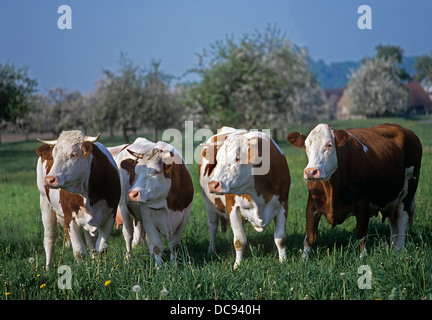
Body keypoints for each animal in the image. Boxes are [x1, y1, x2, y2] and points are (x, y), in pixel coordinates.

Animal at [36, 130, 120, 268]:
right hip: (45, 204)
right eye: (53, 155)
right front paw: (81, 269)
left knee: (91, 242)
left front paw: (99, 268)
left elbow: (101, 248)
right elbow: (79, 251)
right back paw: (48, 267)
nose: (49, 179)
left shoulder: (110, 215)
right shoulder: (70, 217)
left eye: (73, 154)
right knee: (49, 238)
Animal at [199, 126, 290, 268]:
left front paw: (283, 261)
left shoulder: (283, 204)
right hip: (209, 204)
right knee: (212, 226)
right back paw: (211, 250)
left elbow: (280, 238)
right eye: (218, 159)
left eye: (237, 158)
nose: (213, 184)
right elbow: (239, 240)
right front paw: (237, 265)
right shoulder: (233, 208)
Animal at [286, 124, 422, 258]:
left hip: (409, 191)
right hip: (390, 197)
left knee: (402, 218)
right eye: (306, 145)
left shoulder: (364, 204)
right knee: (393, 220)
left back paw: (400, 249)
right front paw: (304, 260)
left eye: (329, 144)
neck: (332, 188)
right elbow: (309, 238)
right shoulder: (312, 205)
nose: (310, 172)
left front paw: (363, 258)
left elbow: (361, 235)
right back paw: (393, 248)